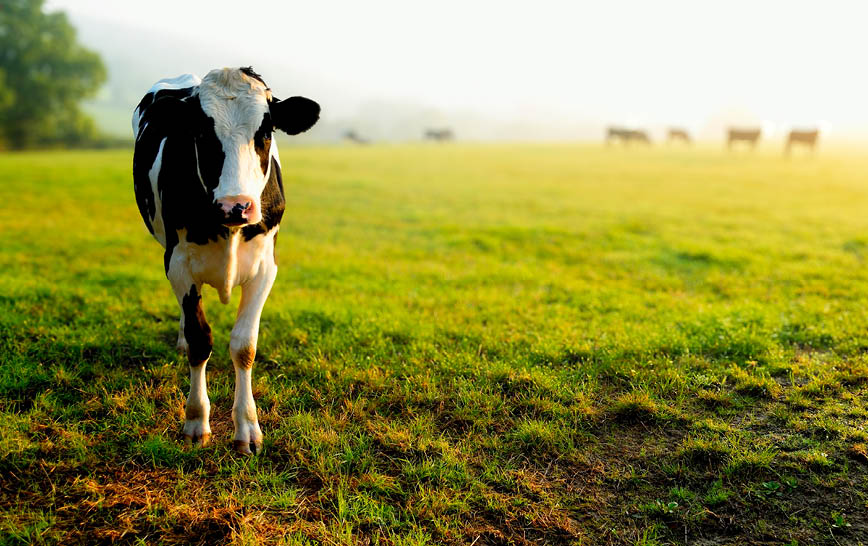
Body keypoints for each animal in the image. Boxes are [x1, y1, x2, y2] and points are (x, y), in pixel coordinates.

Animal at [132, 67, 320, 455]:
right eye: (202, 132)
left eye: (265, 131)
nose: (236, 205)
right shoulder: (177, 262)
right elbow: (200, 338)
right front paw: (195, 421)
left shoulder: (265, 266)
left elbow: (244, 346)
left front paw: (247, 428)